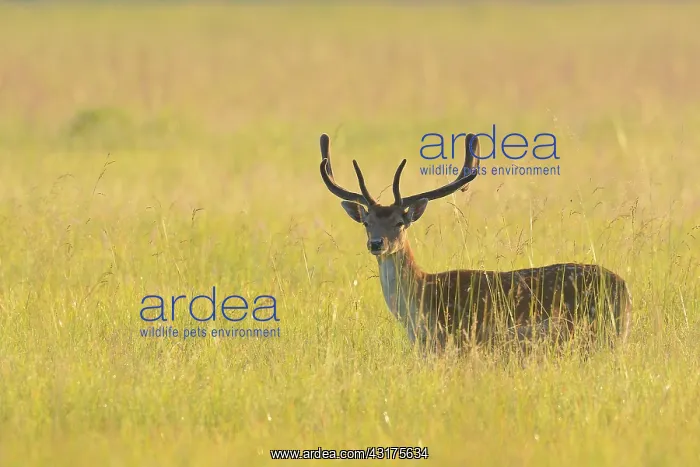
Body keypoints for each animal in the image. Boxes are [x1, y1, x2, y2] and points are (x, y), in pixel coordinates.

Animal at [318, 132, 632, 355]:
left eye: (399, 222)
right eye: (367, 222)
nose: (376, 243)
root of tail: (626, 290)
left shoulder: (458, 343)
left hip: (597, 336)